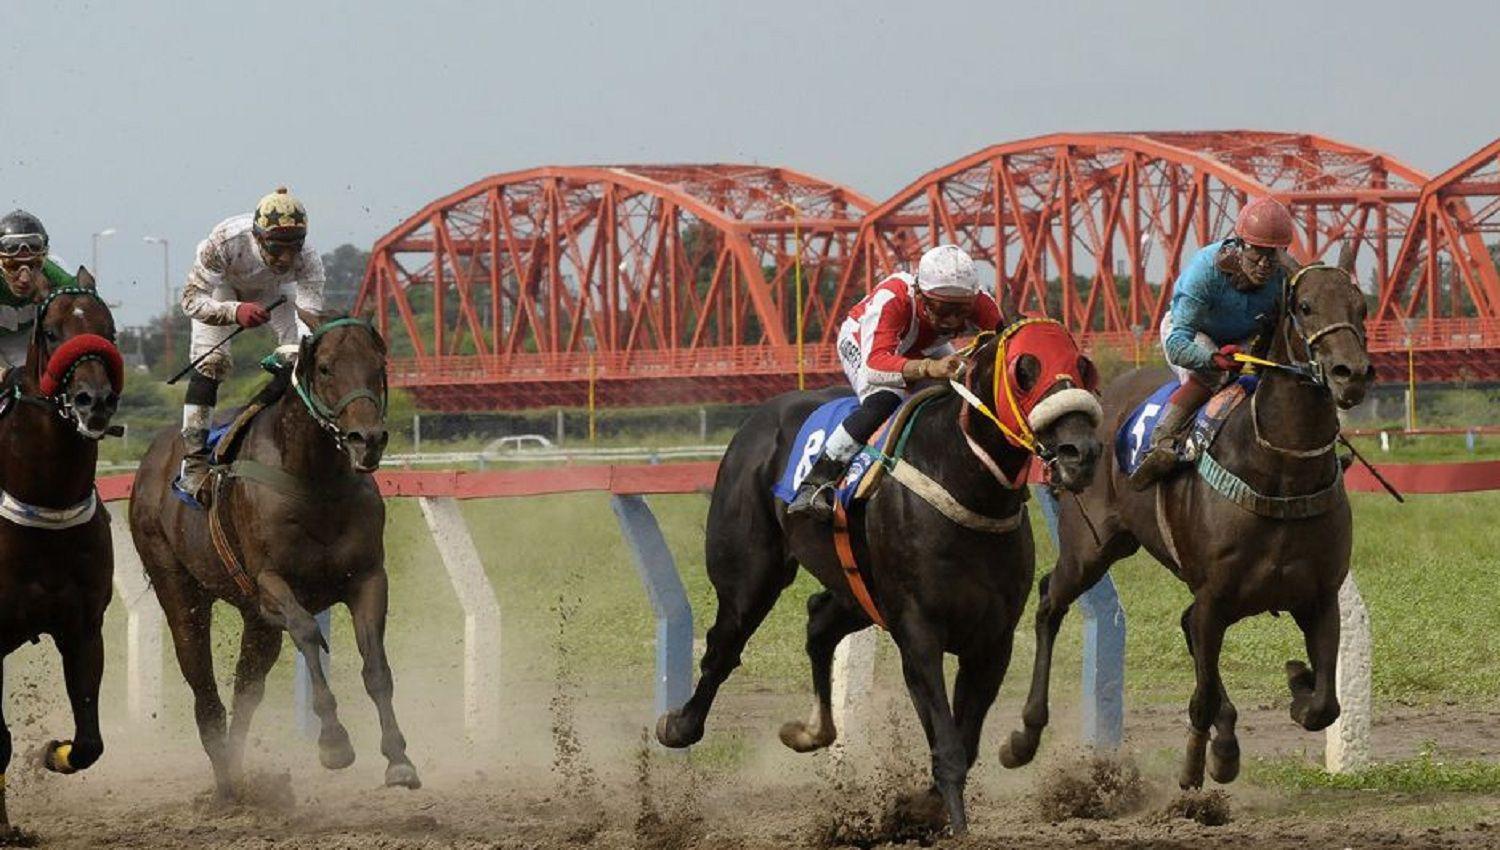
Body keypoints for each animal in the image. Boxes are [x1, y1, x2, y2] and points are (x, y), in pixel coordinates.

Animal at [128, 313, 420, 797]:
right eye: (325, 368)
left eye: (378, 366)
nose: (368, 439)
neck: (315, 478)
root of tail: (153, 456)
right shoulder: (271, 585)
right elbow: (307, 633)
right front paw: (334, 743)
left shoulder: (368, 578)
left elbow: (376, 664)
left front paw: (398, 758)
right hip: (179, 589)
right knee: (203, 686)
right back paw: (224, 779)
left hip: (255, 620)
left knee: (246, 686)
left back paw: (236, 770)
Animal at [654, 317, 1104, 833]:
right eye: (1024, 371)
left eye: (1082, 366)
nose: (1081, 452)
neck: (964, 482)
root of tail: (758, 418)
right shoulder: (918, 631)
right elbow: (949, 744)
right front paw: (952, 822)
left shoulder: (992, 641)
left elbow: (966, 740)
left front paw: (928, 803)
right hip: (751, 573)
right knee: (725, 646)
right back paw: (679, 725)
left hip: (858, 591)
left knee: (818, 622)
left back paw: (813, 729)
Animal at [1002, 253, 1374, 791]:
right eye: (1305, 306)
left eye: (1361, 307)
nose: (1351, 374)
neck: (1281, 473)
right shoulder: (1215, 597)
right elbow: (1200, 697)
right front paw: (1197, 767)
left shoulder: (1319, 597)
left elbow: (1324, 704)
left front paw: (1296, 681)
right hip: (1090, 550)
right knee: (1051, 601)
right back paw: (1025, 735)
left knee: (1184, 627)